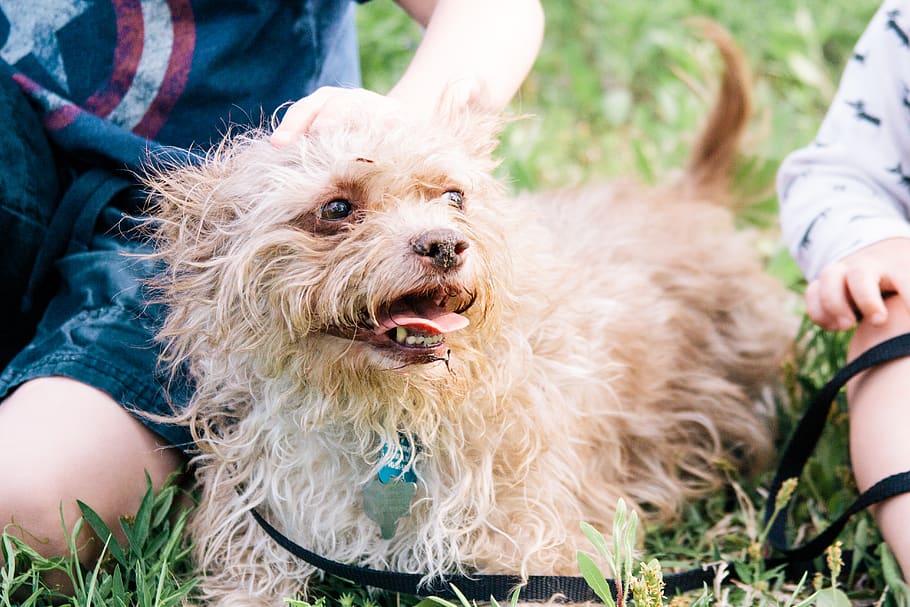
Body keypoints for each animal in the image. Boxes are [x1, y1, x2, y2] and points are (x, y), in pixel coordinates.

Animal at [146, 23, 796, 607]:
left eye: (453, 197)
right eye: (336, 208)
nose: (444, 245)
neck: (387, 421)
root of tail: (686, 195)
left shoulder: (536, 556)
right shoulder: (257, 532)